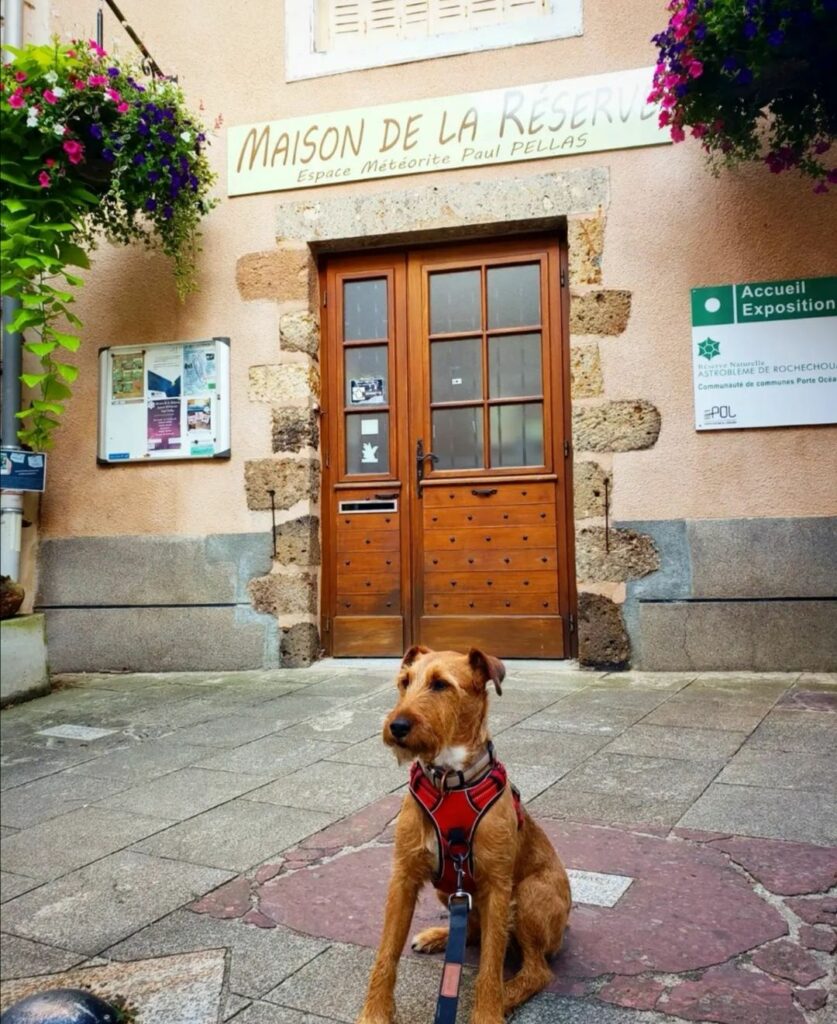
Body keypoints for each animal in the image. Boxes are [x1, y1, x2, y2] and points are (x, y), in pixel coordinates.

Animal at [356, 647, 569, 1024]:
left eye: (441, 685)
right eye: (404, 682)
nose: (396, 726)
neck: (449, 780)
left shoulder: (497, 887)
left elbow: (490, 966)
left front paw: (487, 1013)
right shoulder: (403, 877)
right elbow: (386, 952)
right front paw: (375, 1014)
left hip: (528, 895)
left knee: (535, 970)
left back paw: (507, 996)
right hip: (448, 889)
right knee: (470, 930)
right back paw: (439, 937)